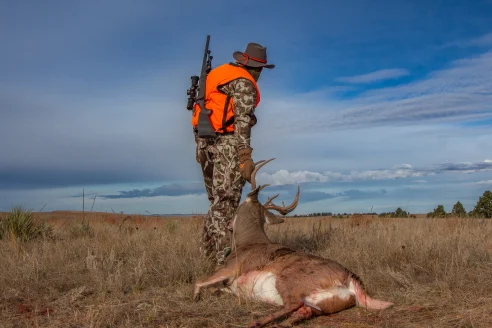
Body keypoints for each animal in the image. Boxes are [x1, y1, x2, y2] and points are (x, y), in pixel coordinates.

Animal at [192, 158, 392, 326]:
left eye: (239, 205)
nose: (228, 223)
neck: (247, 242)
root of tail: (350, 276)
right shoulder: (230, 284)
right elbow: (214, 288)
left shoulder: (230, 267)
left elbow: (199, 282)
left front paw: (195, 298)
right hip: (324, 303)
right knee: (303, 311)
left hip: (288, 280)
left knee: (292, 304)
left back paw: (256, 322)